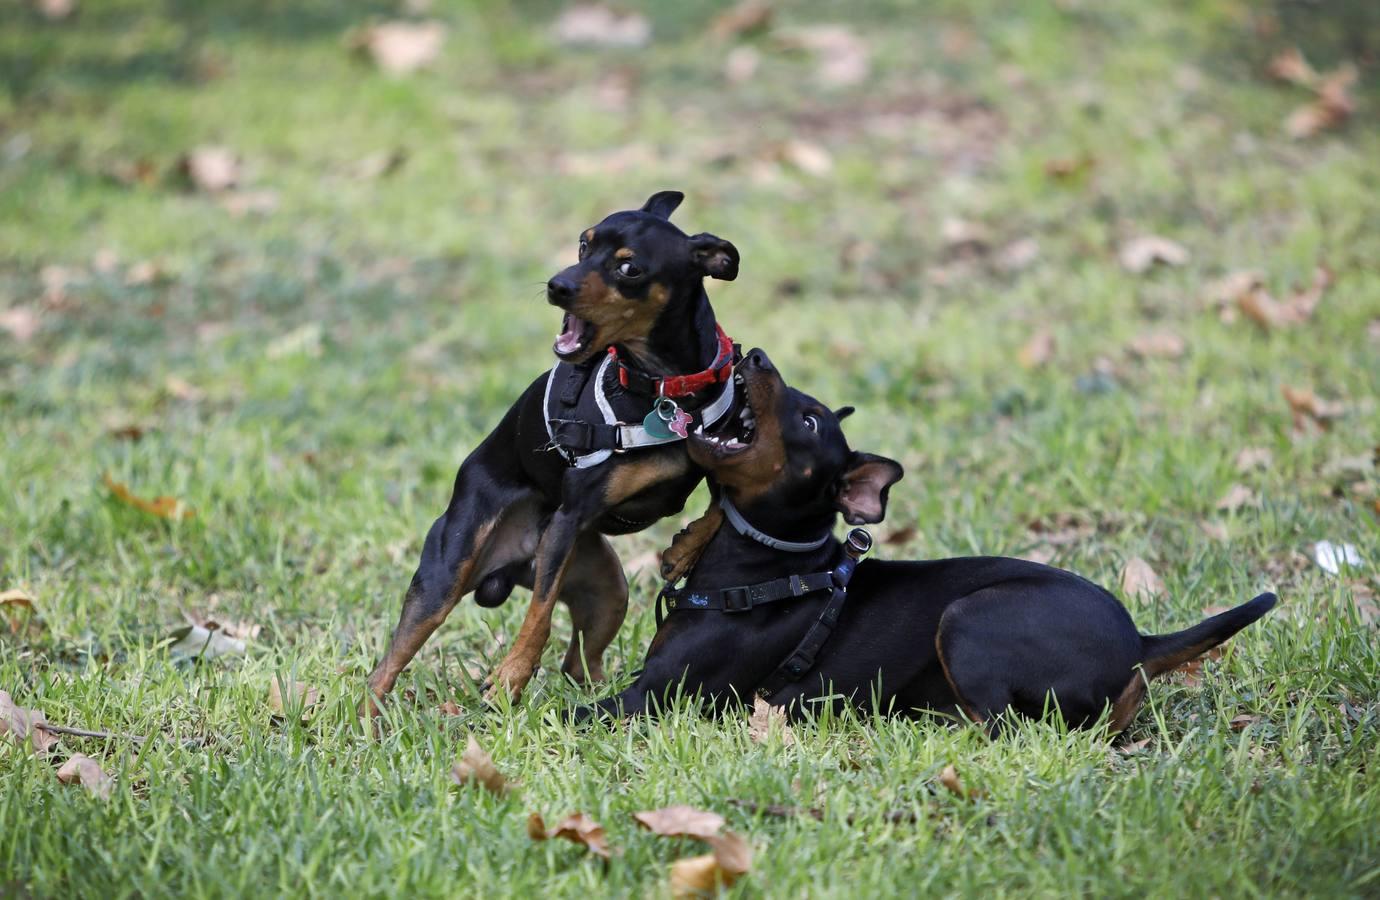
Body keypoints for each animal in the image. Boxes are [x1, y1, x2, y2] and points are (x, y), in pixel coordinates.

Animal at [367, 191, 750, 712]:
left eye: (629, 268)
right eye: (583, 244)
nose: (557, 284)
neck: (662, 388)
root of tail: (515, 563)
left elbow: (719, 503)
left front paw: (685, 550)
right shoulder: (568, 520)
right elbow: (541, 613)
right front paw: (510, 676)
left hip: (606, 590)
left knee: (579, 664)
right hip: (453, 572)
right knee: (386, 666)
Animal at [579, 347, 1269, 734]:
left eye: (809, 421)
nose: (756, 356)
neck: (768, 561)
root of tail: (1140, 646)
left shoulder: (653, 699)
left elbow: (570, 711)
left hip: (967, 618)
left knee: (1008, 728)